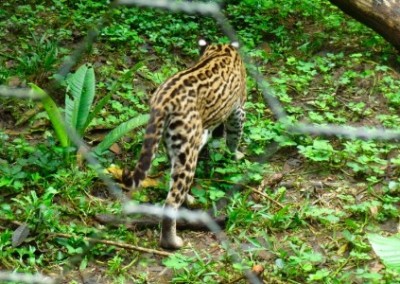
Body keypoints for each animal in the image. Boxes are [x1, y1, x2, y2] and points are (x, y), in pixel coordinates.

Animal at [122, 40, 247, 248]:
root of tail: (162, 100)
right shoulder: (238, 110)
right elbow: (233, 137)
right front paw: (235, 154)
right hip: (187, 151)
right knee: (171, 202)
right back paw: (172, 242)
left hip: (174, 146)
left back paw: (189, 199)